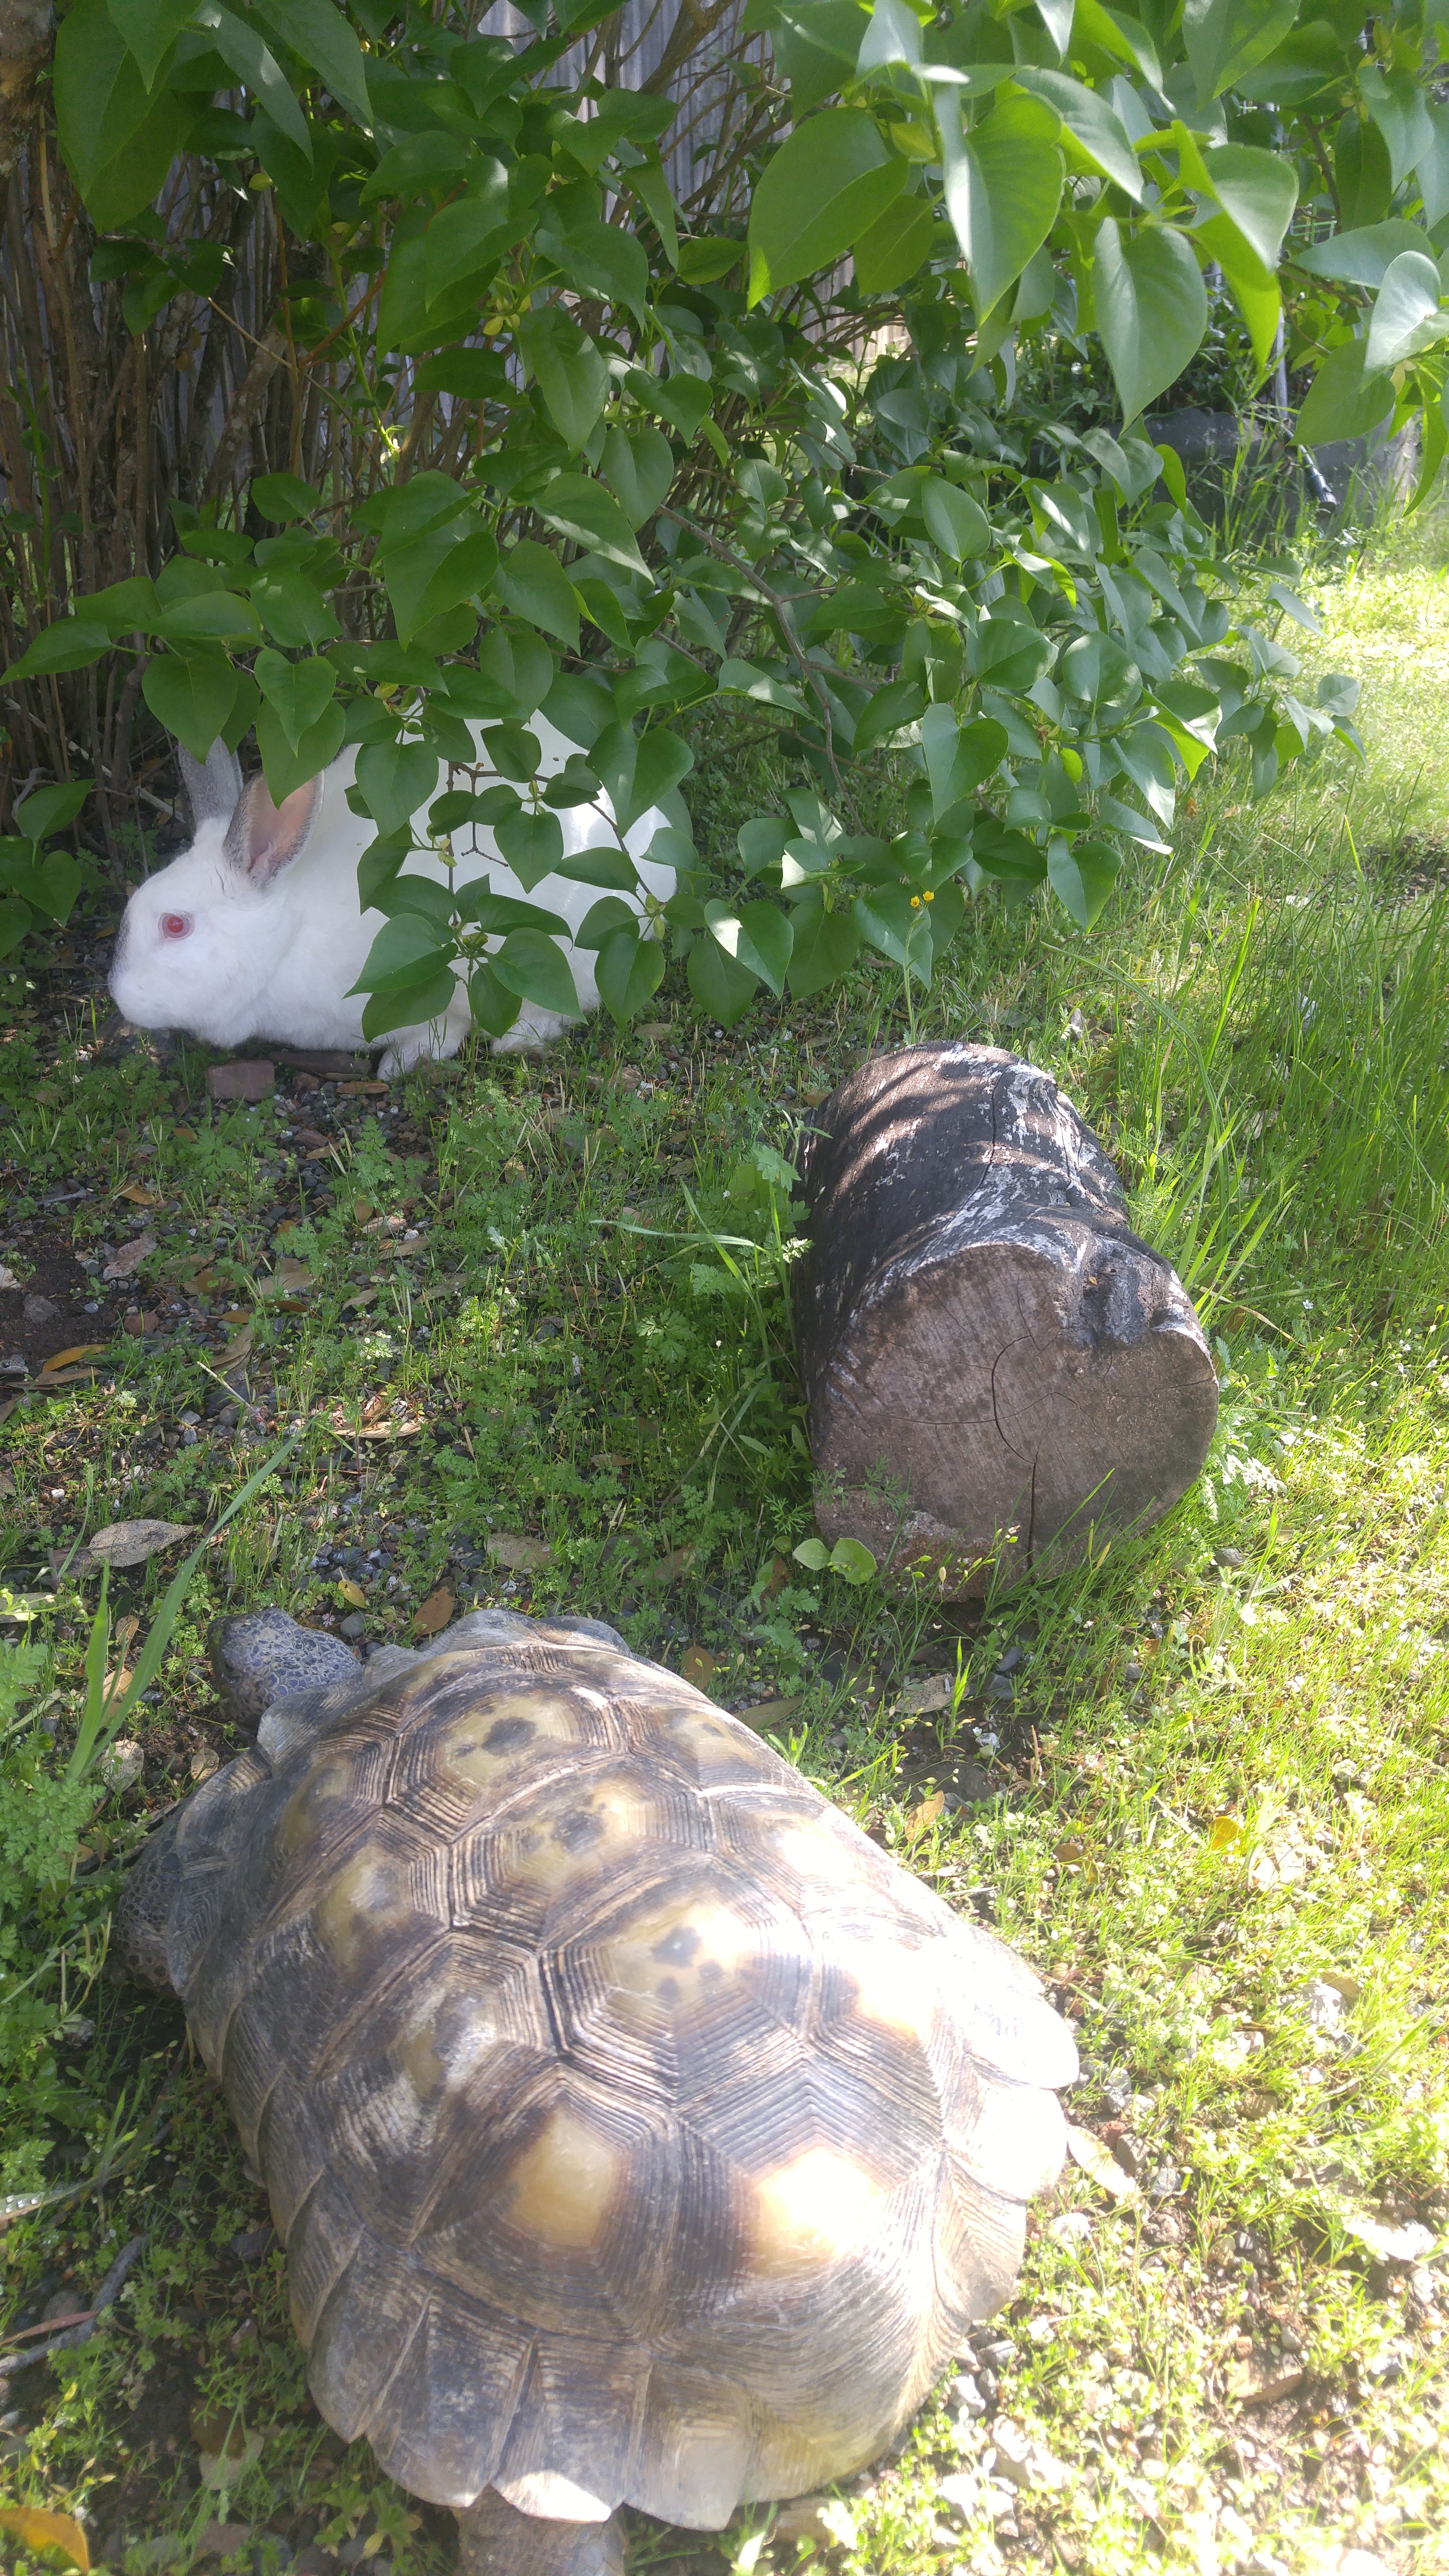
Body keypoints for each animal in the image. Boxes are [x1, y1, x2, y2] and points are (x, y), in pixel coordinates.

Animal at [110, 721, 675, 1071]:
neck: (288, 936)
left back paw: (516, 1039)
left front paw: (400, 1066)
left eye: (175, 925)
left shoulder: (427, 996)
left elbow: (440, 1033)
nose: (119, 998)